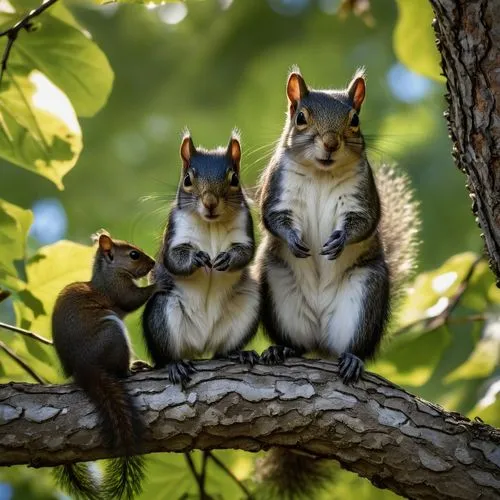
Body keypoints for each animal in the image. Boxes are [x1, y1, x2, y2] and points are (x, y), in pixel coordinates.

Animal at [50, 230, 156, 500]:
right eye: (134, 255)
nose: (153, 263)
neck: (107, 273)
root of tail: (85, 368)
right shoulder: (117, 289)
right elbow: (132, 299)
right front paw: (159, 283)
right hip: (113, 333)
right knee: (120, 371)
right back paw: (133, 368)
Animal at [141, 131, 258, 384]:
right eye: (187, 179)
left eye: (234, 179)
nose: (210, 202)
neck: (211, 223)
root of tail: (202, 343)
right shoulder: (175, 232)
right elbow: (173, 259)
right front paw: (196, 258)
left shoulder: (244, 230)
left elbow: (246, 253)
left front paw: (227, 259)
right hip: (164, 314)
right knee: (168, 354)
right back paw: (174, 364)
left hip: (247, 306)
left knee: (223, 350)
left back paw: (238, 353)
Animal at [256, 66, 420, 496]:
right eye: (301, 117)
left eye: (355, 120)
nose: (330, 143)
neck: (321, 172)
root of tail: (320, 340)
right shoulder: (275, 189)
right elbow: (271, 218)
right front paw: (295, 239)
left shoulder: (364, 197)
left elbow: (364, 223)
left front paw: (340, 241)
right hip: (276, 286)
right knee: (295, 341)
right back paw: (283, 350)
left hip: (363, 294)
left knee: (352, 344)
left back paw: (351, 359)